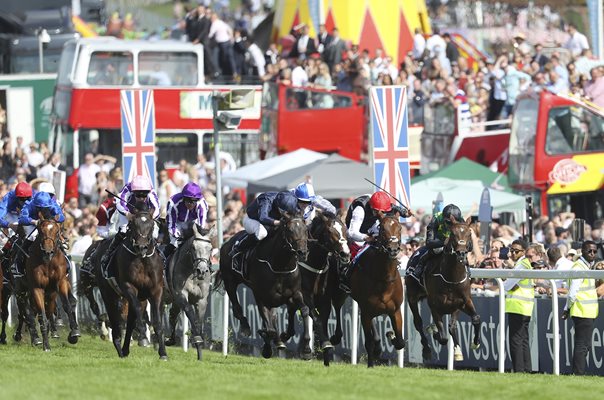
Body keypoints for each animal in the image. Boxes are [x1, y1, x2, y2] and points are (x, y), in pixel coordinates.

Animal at [25, 216, 80, 350]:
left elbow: (67, 305)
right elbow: (42, 316)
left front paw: (74, 333)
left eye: (56, 231)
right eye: (41, 231)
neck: (48, 263)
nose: (48, 251)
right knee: (30, 311)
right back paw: (36, 339)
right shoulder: (36, 288)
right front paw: (46, 346)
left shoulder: (61, 282)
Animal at [218, 214, 312, 358]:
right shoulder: (262, 297)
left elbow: (304, 310)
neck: (280, 266)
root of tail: (227, 242)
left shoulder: (294, 294)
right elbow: (269, 328)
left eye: (306, 230)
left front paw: (306, 348)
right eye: (290, 230)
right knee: (237, 307)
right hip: (230, 281)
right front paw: (267, 346)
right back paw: (246, 328)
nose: (302, 252)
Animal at [300, 212, 352, 366]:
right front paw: (324, 344)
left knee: (338, 307)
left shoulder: (324, 299)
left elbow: (323, 321)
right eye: (329, 232)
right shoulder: (304, 295)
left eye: (345, 230)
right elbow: (316, 319)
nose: (345, 254)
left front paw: (327, 355)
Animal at [350, 214, 406, 368]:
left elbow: (400, 342)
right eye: (382, 228)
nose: (393, 249)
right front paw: (371, 364)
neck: (384, 278)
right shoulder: (366, 311)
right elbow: (368, 342)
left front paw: (390, 336)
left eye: (400, 228)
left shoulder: (396, 310)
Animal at [406, 217, 482, 360]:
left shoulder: (462, 303)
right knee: (418, 323)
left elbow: (474, 319)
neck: (451, 278)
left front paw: (474, 344)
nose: (461, 253)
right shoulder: (434, 305)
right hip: (412, 296)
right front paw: (434, 332)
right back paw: (426, 349)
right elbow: (443, 337)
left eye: (469, 233)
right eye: (453, 234)